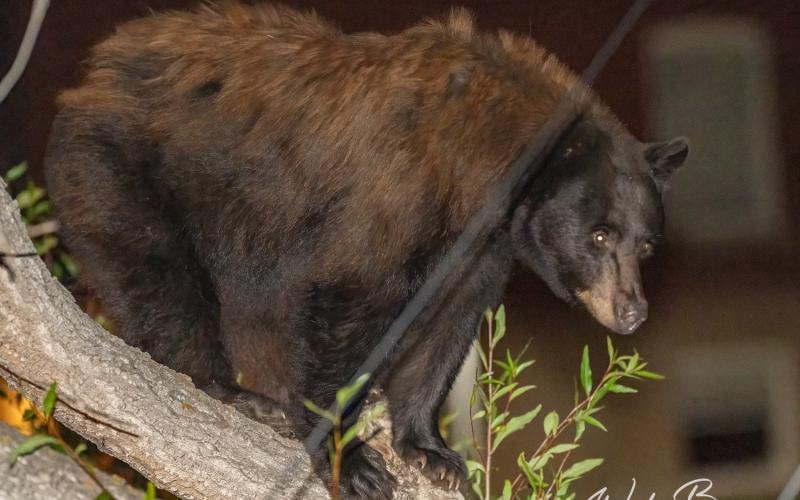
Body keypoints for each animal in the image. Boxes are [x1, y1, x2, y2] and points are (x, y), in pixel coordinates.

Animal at [44, 3, 689, 498]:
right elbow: (349, 301)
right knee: (162, 282)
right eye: (599, 235)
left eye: (647, 243)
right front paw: (350, 459)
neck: (473, 163)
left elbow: (445, 330)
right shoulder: (392, 197)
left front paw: (431, 450)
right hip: (125, 175)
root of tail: (89, 76)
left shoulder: (478, 250)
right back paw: (231, 391)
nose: (633, 312)